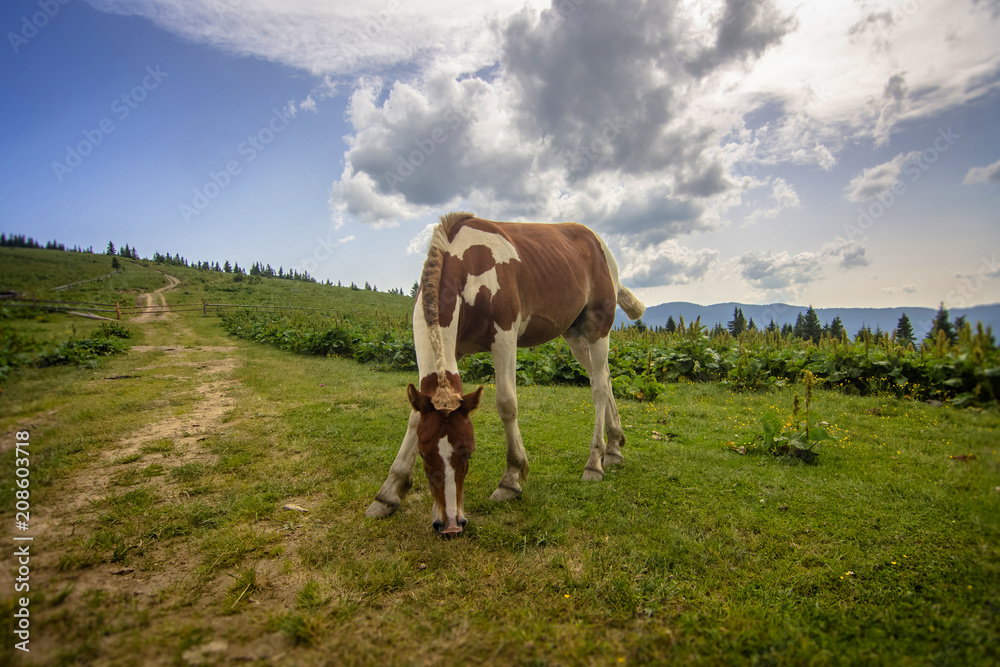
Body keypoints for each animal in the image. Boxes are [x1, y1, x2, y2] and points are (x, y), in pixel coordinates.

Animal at [364, 211, 644, 536]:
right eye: (423, 455)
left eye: (469, 453)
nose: (450, 525)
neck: (469, 265)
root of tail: (599, 243)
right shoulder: (454, 352)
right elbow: (413, 418)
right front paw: (388, 493)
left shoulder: (505, 337)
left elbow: (507, 403)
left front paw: (511, 479)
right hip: (574, 334)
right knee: (606, 380)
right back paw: (614, 448)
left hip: (598, 327)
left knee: (599, 387)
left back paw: (594, 462)